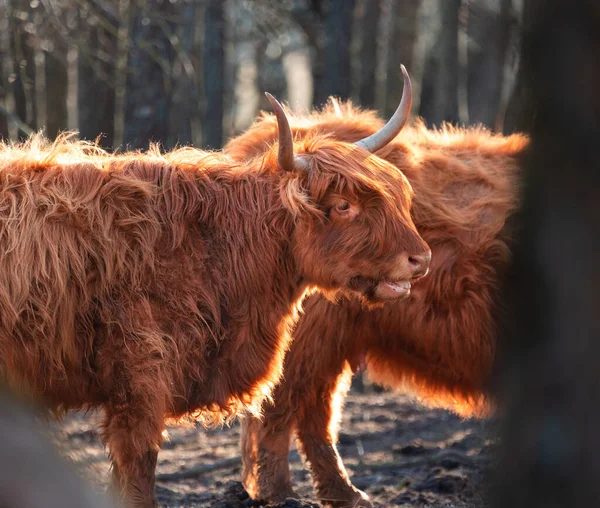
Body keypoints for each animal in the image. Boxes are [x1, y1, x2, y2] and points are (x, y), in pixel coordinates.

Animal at [226, 97, 528, 506]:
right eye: (343, 206)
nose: (421, 260)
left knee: (313, 412)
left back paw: (345, 494)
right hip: (309, 336)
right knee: (282, 411)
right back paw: (284, 494)